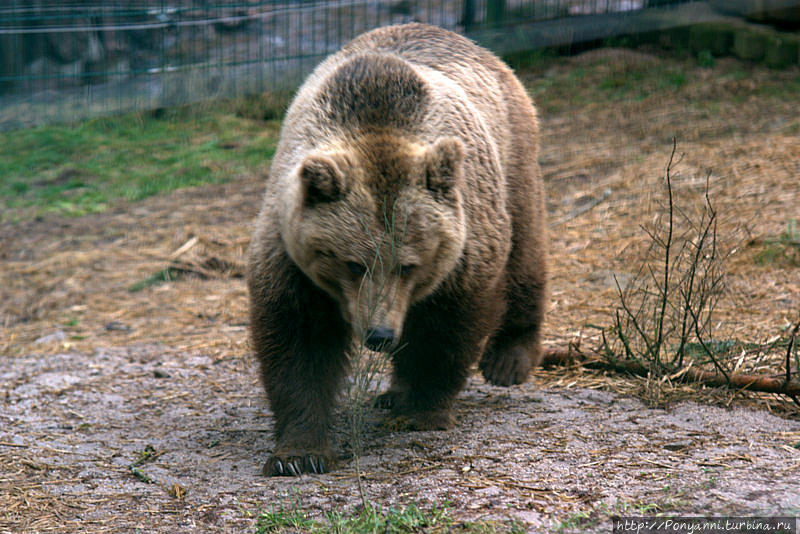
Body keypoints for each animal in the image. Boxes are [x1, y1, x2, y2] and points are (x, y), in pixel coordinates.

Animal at [247, 23, 548, 480]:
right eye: (352, 263)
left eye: (408, 265)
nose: (380, 334)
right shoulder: (290, 250)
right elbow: (299, 342)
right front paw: (299, 453)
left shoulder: (462, 247)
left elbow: (448, 325)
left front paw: (423, 409)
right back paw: (393, 391)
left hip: (513, 155)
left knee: (525, 250)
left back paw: (508, 359)